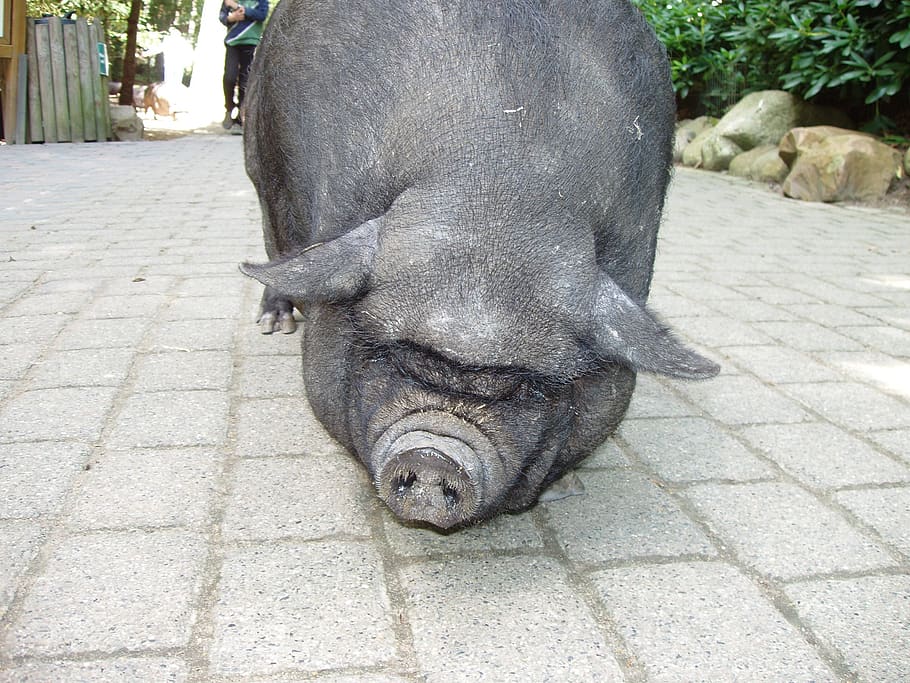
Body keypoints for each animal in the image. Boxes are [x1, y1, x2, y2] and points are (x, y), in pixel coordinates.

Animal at [240, 0, 719, 529]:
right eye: (391, 356)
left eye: (528, 388)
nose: (433, 456)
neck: (498, 189)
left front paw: (566, 489)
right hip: (259, 155)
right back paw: (275, 323)